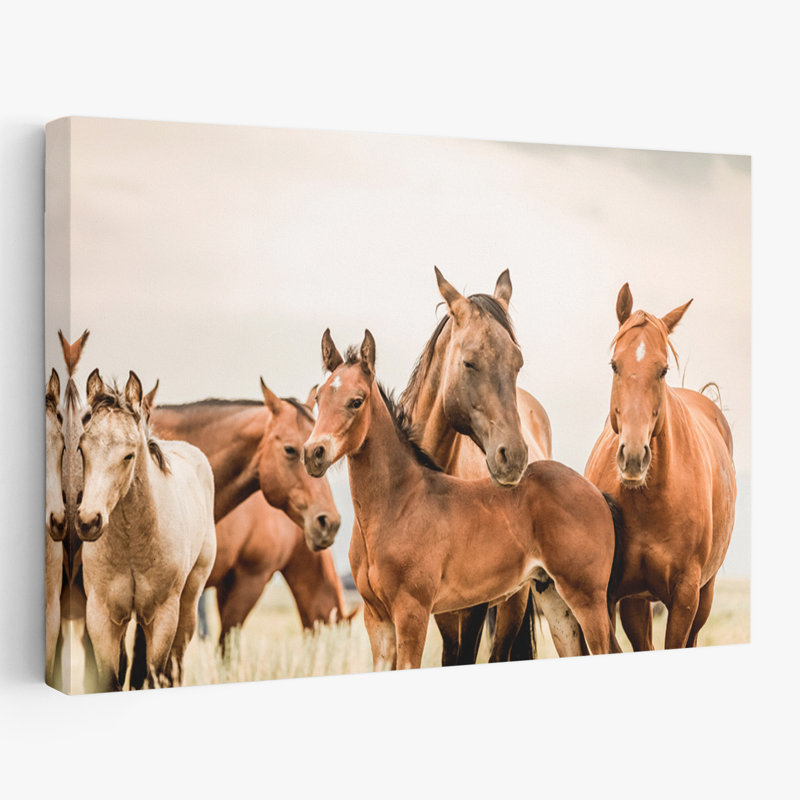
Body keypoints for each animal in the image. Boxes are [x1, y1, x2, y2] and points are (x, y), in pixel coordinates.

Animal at [76, 370, 216, 690]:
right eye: (82, 449)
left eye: (128, 455)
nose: (89, 521)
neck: (133, 544)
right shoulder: (102, 616)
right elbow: (112, 679)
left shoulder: (163, 616)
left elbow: (155, 673)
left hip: (188, 604)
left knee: (173, 667)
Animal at [304, 330, 621, 670]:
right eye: (319, 399)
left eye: (356, 401)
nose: (313, 453)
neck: (398, 504)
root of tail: (595, 491)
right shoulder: (377, 620)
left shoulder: (412, 613)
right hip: (553, 597)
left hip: (586, 597)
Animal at [396, 267, 552, 664]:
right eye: (469, 362)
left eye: (517, 363)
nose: (513, 456)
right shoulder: (441, 611)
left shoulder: (476, 607)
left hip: (514, 600)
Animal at [584, 284, 736, 649]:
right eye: (614, 365)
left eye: (663, 369)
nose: (633, 457)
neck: (648, 502)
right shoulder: (611, 597)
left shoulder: (685, 598)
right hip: (637, 603)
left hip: (704, 596)